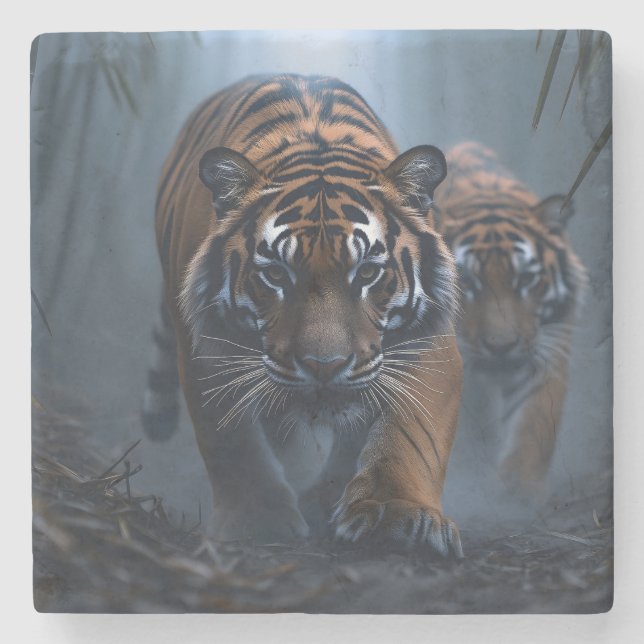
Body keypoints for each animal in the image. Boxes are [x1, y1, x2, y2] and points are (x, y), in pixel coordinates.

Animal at [142, 74, 464, 557]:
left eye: (367, 272)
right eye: (276, 274)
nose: (323, 366)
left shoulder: (431, 341)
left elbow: (411, 432)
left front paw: (395, 517)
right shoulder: (205, 348)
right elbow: (231, 441)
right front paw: (258, 521)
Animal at [434, 141, 587, 498]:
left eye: (526, 280)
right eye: (468, 282)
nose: (501, 346)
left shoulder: (548, 346)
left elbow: (533, 424)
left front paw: (518, 489)